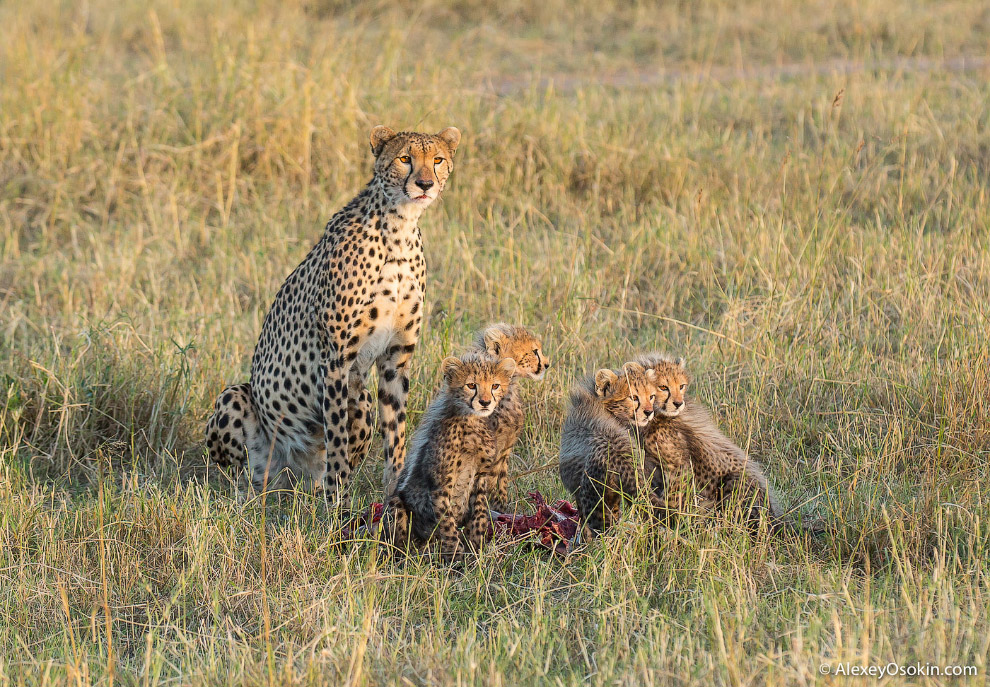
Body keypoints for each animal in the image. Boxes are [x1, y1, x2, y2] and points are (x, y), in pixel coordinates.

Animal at [207, 125, 464, 500]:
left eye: (438, 159)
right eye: (405, 158)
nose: (425, 184)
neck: (398, 230)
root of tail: (294, 476)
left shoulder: (396, 357)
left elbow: (396, 432)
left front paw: (393, 493)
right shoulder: (336, 359)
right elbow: (338, 435)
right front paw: (336, 501)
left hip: (363, 400)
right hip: (238, 401)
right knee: (244, 476)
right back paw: (255, 495)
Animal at [382, 354, 520, 564]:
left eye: (495, 385)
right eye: (471, 385)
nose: (485, 402)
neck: (471, 421)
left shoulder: (480, 476)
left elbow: (480, 513)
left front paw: (476, 548)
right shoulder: (441, 484)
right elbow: (447, 522)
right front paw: (455, 555)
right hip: (397, 504)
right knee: (400, 541)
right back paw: (407, 555)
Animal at [560, 362, 668, 536]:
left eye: (651, 396)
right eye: (633, 397)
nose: (649, 412)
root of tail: (618, 453)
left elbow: (583, 523)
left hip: (594, 500)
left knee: (602, 530)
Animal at [636, 354, 792, 532]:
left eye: (681, 386)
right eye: (663, 387)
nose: (678, 403)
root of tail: (776, 520)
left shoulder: (679, 466)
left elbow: (677, 495)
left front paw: (674, 520)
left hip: (736, 481)